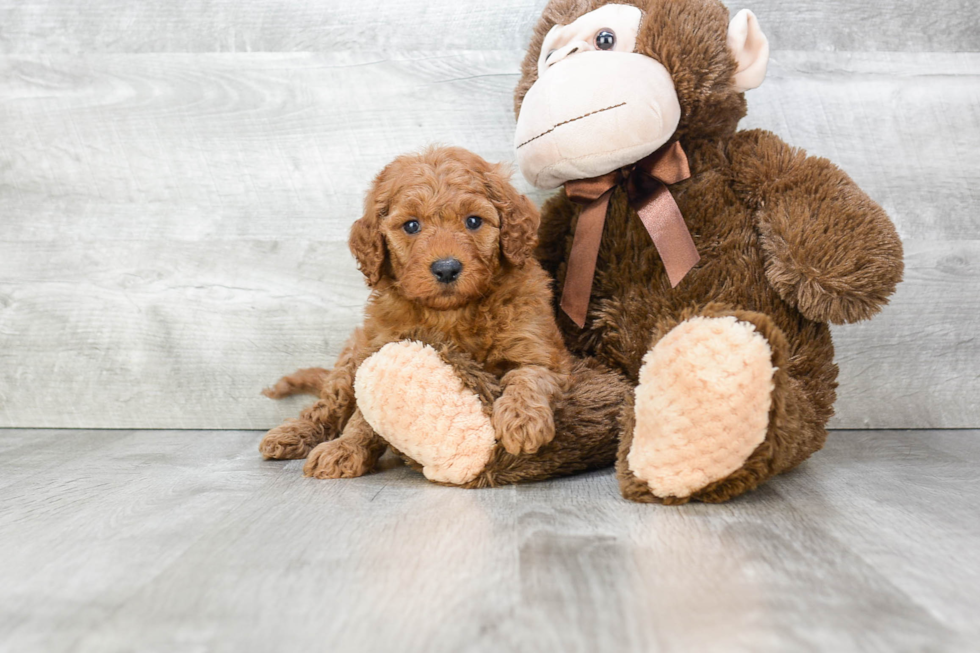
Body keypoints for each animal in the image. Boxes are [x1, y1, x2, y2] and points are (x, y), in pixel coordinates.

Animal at [260, 145, 580, 476]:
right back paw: (293, 433)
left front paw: (522, 419)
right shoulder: (383, 351)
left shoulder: (541, 351)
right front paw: (346, 446)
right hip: (353, 357)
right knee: (328, 405)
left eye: (474, 221)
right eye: (412, 225)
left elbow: (528, 377)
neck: (451, 313)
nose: (446, 268)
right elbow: (364, 414)